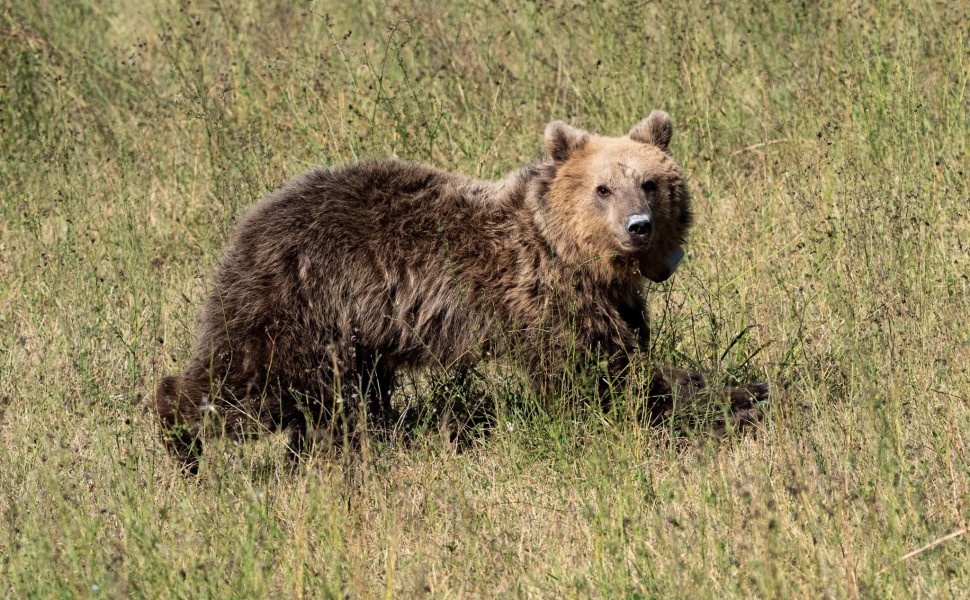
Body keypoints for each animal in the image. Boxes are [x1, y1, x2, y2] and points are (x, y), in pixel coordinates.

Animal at [157, 110, 764, 472]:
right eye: (603, 188)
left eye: (651, 182)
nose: (638, 225)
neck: (573, 255)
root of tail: (252, 220)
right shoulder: (543, 299)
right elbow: (599, 381)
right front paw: (730, 401)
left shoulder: (614, 303)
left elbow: (630, 359)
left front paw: (743, 391)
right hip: (299, 304)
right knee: (247, 384)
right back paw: (180, 442)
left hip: (352, 333)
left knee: (338, 402)